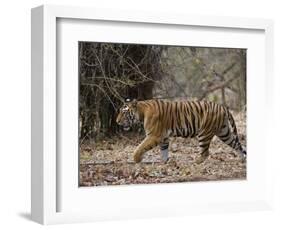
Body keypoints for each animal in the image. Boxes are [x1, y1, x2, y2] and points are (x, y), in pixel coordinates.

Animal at [115, 99, 245, 164]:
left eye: (124, 112)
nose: (117, 121)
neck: (142, 112)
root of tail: (223, 107)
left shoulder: (154, 135)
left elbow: (140, 147)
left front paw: (137, 160)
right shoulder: (164, 137)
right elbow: (164, 151)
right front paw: (165, 163)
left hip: (204, 133)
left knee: (205, 153)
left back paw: (195, 162)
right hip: (224, 132)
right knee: (237, 144)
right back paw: (242, 159)